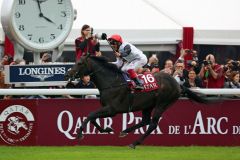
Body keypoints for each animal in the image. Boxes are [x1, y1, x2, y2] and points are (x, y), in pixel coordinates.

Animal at [66, 55, 210, 149]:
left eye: (80, 63)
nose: (68, 74)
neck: (111, 82)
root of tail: (178, 84)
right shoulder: (106, 108)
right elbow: (93, 118)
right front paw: (106, 129)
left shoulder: (112, 109)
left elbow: (90, 115)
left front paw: (79, 134)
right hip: (148, 105)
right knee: (145, 121)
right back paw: (124, 132)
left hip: (162, 103)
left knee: (152, 124)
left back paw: (134, 143)